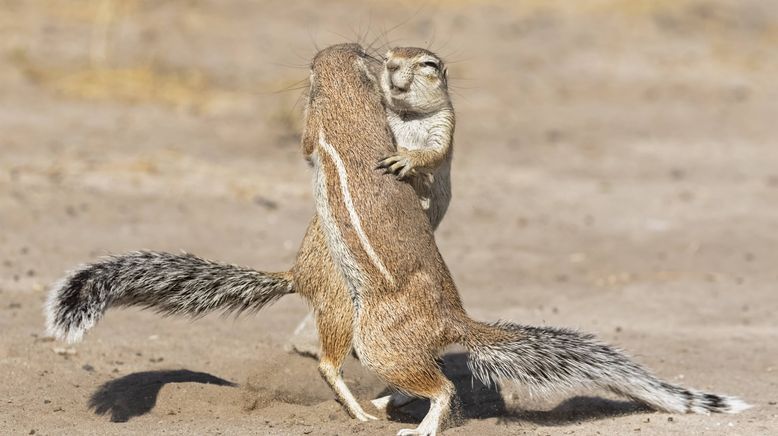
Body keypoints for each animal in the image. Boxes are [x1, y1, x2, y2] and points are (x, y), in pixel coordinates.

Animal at [304, 44, 744, 436]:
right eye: (389, 56)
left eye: (427, 64)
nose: (391, 66)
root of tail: (455, 318)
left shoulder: (439, 129)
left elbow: (424, 152)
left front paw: (408, 160)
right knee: (431, 376)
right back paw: (381, 403)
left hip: (379, 340)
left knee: (442, 388)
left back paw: (417, 426)